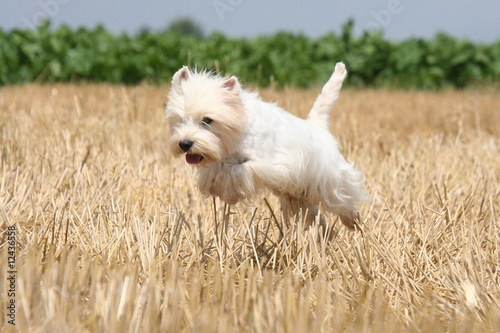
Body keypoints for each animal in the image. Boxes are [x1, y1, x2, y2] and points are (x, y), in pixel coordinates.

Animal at [167, 62, 368, 231]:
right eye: (180, 119)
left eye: (207, 120)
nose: (184, 144)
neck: (240, 129)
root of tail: (317, 126)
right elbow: (215, 172)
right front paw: (212, 185)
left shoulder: (270, 164)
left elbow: (238, 170)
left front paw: (228, 190)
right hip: (297, 196)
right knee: (313, 215)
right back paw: (326, 233)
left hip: (330, 184)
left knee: (343, 202)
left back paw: (354, 222)